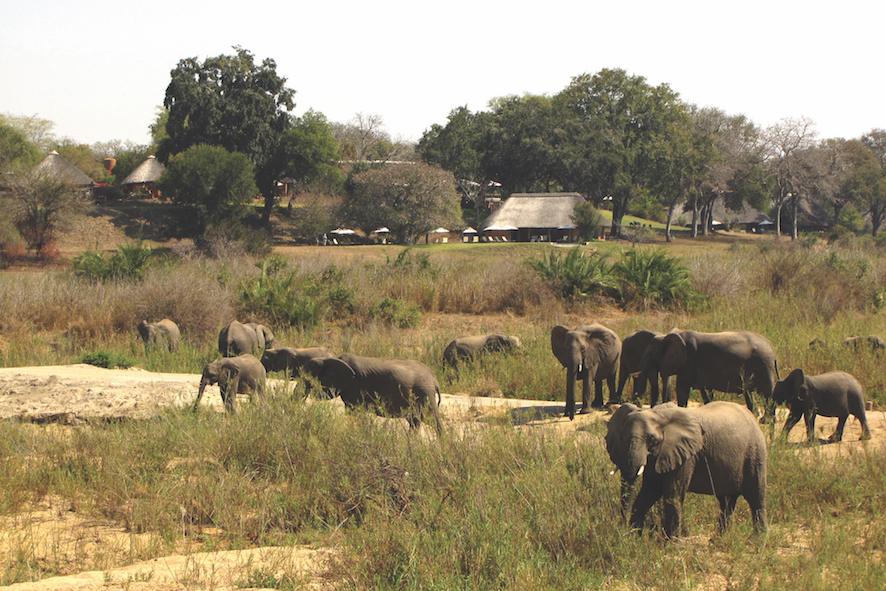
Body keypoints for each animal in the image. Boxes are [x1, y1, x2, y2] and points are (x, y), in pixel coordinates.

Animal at [306, 352, 444, 434]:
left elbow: (355, 411)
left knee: (427, 417)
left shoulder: (354, 385)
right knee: (417, 419)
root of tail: (435, 379)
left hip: (424, 392)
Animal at [608, 400, 768, 540]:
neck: (658, 414)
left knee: (756, 498)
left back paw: (758, 542)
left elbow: (673, 494)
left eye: (652, 440)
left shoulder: (686, 456)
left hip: (755, 453)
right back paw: (718, 540)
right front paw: (634, 539)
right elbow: (649, 492)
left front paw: (672, 545)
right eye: (621, 437)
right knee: (726, 501)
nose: (620, 529)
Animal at [640, 328, 780, 416]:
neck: (666, 337)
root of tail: (772, 349)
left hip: (763, 365)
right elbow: (704, 391)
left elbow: (682, 388)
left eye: (651, 354)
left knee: (768, 397)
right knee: (750, 395)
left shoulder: (689, 361)